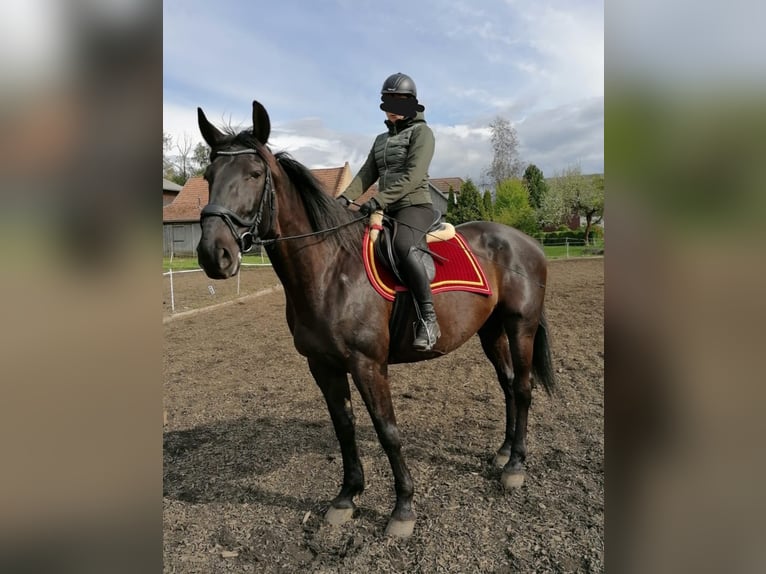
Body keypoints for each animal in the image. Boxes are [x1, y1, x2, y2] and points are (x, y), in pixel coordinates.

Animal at [196, 100, 560, 540]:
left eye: (254, 174)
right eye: (209, 176)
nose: (213, 254)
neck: (331, 269)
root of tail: (525, 241)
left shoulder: (368, 364)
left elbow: (387, 430)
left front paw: (402, 508)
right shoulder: (322, 365)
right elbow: (344, 426)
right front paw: (346, 497)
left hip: (521, 325)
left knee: (522, 388)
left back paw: (515, 466)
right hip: (490, 331)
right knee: (506, 384)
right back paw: (503, 452)